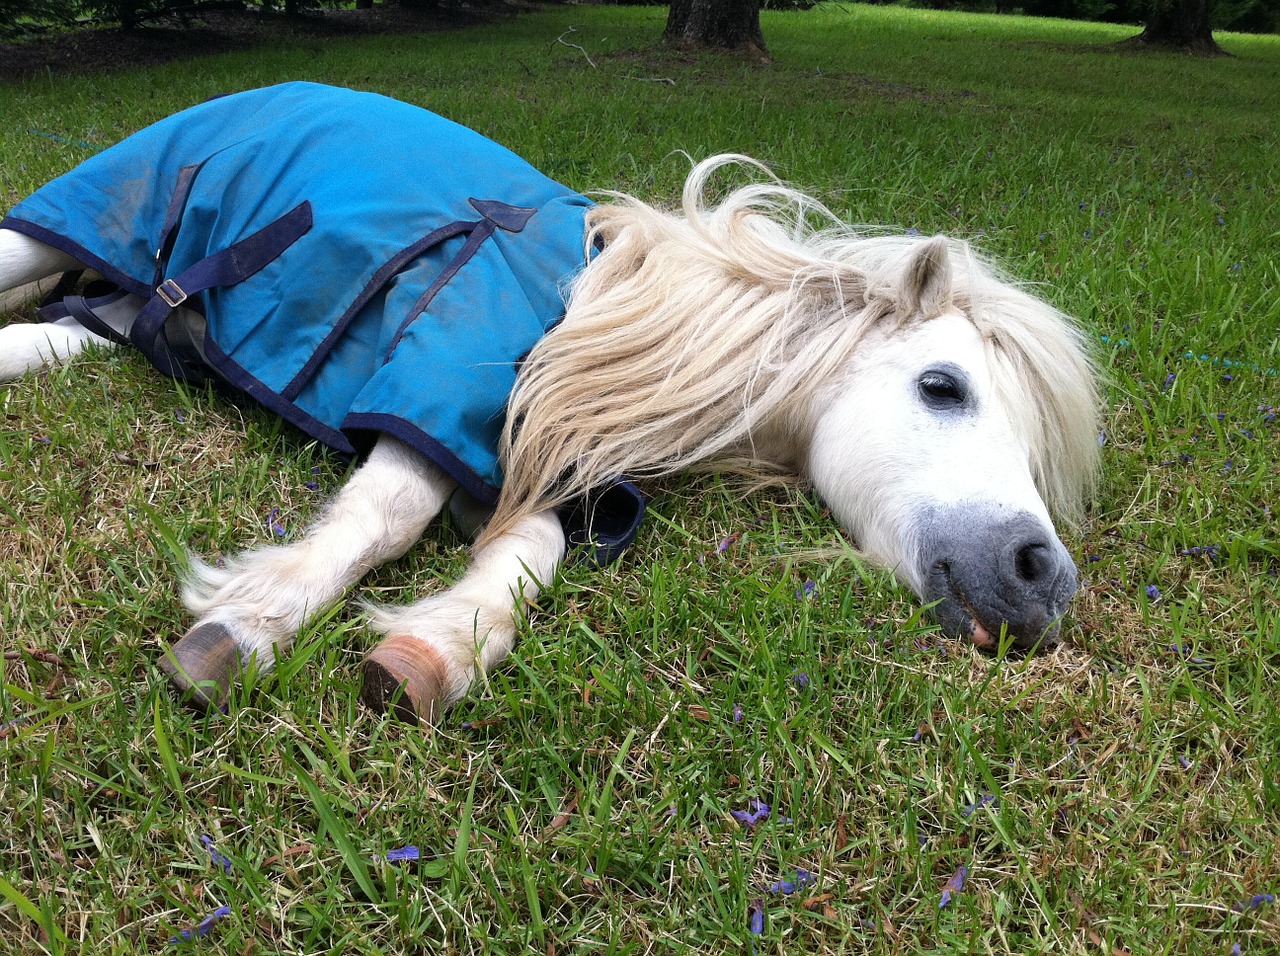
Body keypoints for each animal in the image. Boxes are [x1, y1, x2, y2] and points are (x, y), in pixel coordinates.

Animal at [0, 134, 1100, 721]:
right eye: (942, 386)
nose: (1042, 578)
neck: (593, 309)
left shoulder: (553, 462)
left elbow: (528, 546)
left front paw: (437, 646)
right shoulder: (438, 392)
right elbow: (388, 511)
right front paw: (246, 628)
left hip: (121, 310)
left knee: (47, 334)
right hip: (47, 234)